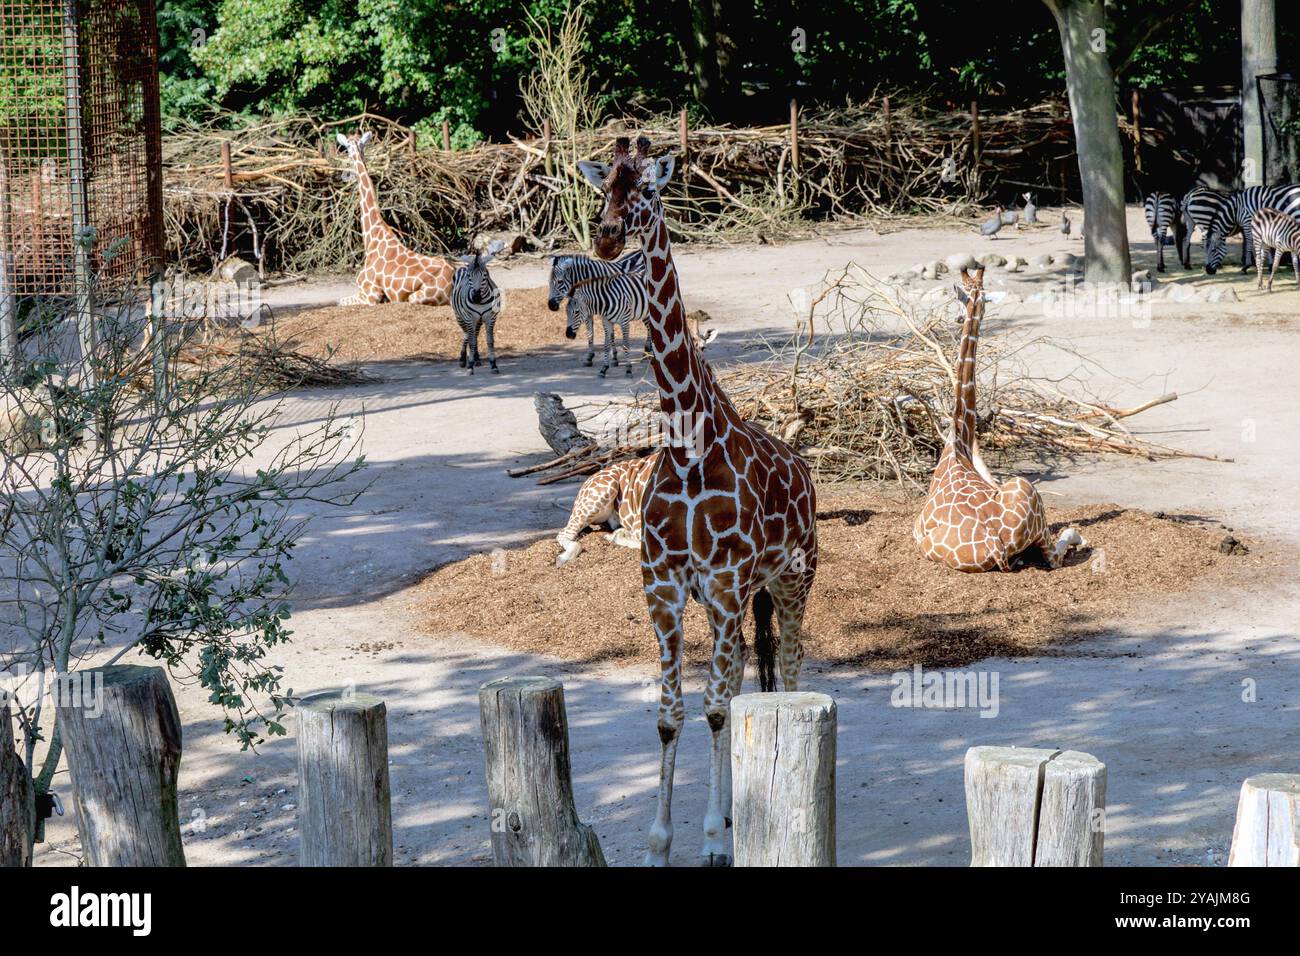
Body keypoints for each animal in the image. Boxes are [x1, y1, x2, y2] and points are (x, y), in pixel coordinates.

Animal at [334, 131, 455, 306]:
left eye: (346, 148)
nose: (344, 174)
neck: (372, 237)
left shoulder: (370, 294)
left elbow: (339, 301)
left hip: (416, 297)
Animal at [578, 137, 818, 867]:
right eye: (603, 188)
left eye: (648, 192)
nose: (605, 234)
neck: (688, 442)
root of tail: (807, 471)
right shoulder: (664, 588)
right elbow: (671, 714)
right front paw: (661, 843)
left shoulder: (727, 581)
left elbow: (712, 707)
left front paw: (711, 840)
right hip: (732, 600)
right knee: (741, 677)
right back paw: (738, 811)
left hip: (791, 579)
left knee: (787, 671)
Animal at [913, 266, 1086, 572]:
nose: (959, 317)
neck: (958, 442)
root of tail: (996, 545)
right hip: (1024, 491)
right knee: (1053, 556)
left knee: (1054, 555)